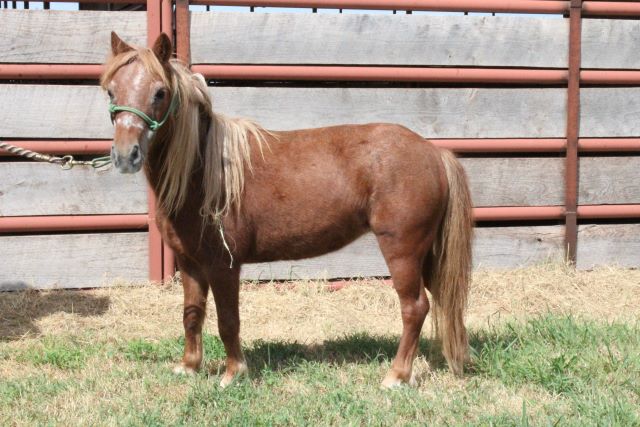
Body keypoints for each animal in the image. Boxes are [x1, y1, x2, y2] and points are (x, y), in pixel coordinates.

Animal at [102, 31, 472, 390]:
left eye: (160, 92)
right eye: (110, 91)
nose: (126, 155)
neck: (204, 173)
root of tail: (434, 153)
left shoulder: (223, 265)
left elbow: (228, 320)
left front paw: (233, 374)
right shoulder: (190, 263)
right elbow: (192, 314)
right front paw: (189, 367)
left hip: (402, 250)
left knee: (414, 307)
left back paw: (396, 376)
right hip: (427, 253)